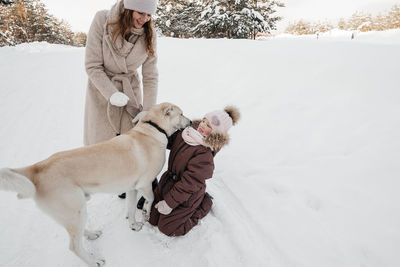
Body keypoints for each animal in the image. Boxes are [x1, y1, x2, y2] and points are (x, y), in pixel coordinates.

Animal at [0, 102, 191, 267]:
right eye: (181, 113)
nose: (190, 122)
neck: (152, 128)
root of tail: (37, 168)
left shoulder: (131, 188)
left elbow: (130, 209)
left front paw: (133, 225)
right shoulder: (144, 184)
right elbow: (150, 199)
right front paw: (145, 212)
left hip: (73, 213)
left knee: (77, 234)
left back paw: (92, 235)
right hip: (75, 210)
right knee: (74, 246)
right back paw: (95, 261)